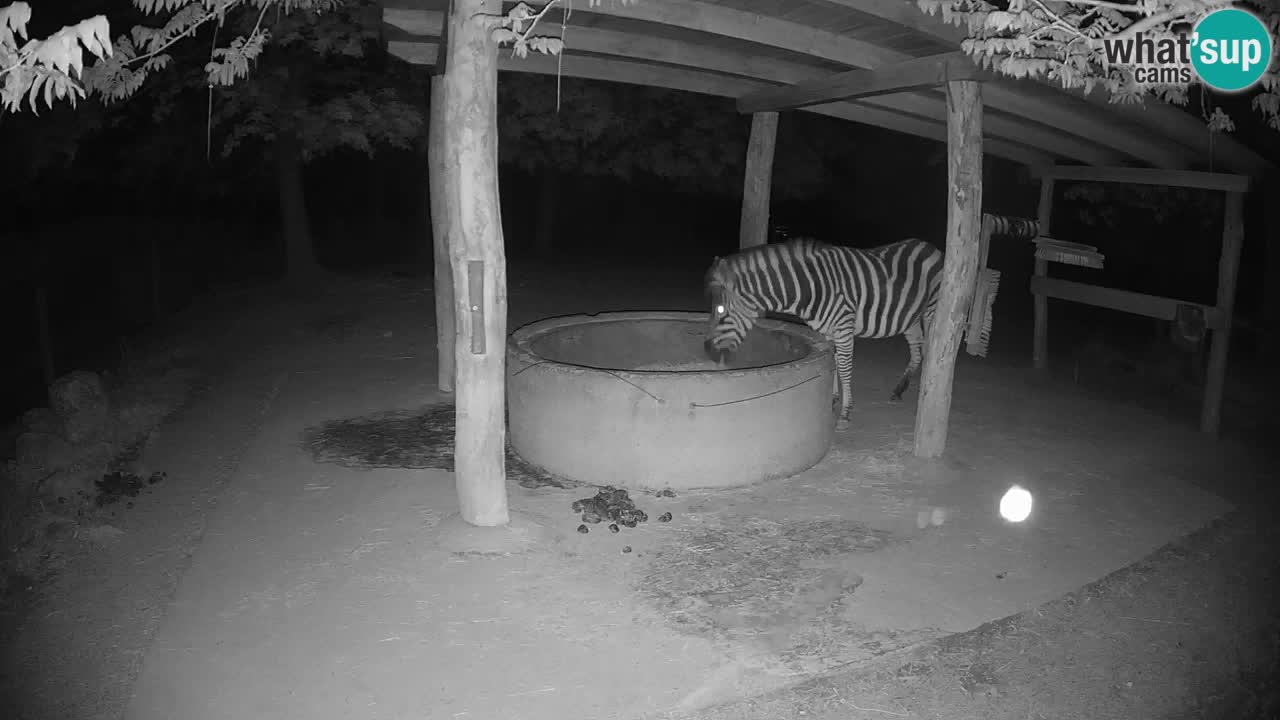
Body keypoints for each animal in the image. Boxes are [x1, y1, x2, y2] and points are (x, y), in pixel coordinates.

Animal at [704, 236, 944, 426]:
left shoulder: (844, 327)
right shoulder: (828, 330)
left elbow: (845, 367)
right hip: (910, 318)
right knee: (917, 350)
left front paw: (845, 413)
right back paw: (899, 390)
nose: (708, 352)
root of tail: (929, 246)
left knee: (929, 350)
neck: (810, 288)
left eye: (720, 310)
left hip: (931, 311)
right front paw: (833, 398)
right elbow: (833, 361)